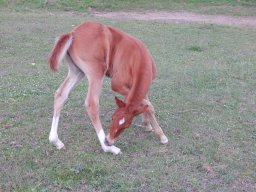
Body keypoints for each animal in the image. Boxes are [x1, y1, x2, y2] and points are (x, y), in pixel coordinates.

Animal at [48, 21, 168, 154]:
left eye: (126, 125)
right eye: (112, 118)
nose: (108, 141)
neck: (139, 58)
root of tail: (73, 33)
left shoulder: (142, 86)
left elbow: (144, 103)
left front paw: (147, 125)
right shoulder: (117, 85)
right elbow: (149, 105)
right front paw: (162, 136)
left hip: (77, 71)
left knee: (61, 94)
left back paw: (56, 141)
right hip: (97, 71)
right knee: (92, 103)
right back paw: (109, 149)